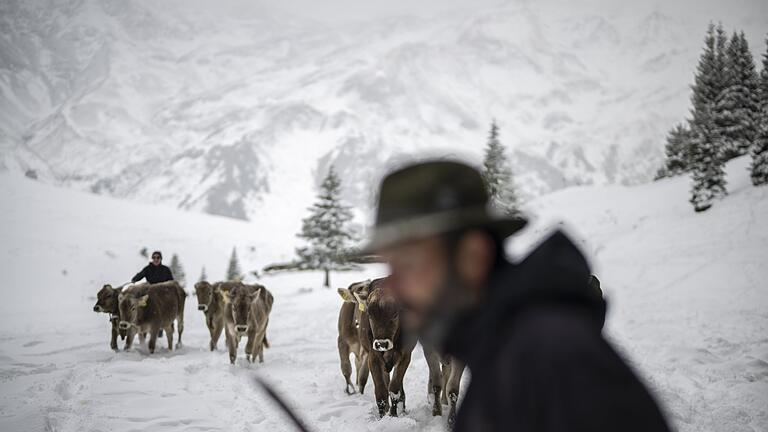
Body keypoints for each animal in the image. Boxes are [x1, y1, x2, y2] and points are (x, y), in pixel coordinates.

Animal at [340, 278, 416, 416]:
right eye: (370, 315)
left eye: (395, 314)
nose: (382, 343)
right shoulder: (373, 356)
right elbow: (381, 391)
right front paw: (382, 416)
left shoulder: (405, 355)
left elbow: (394, 389)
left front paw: (393, 414)